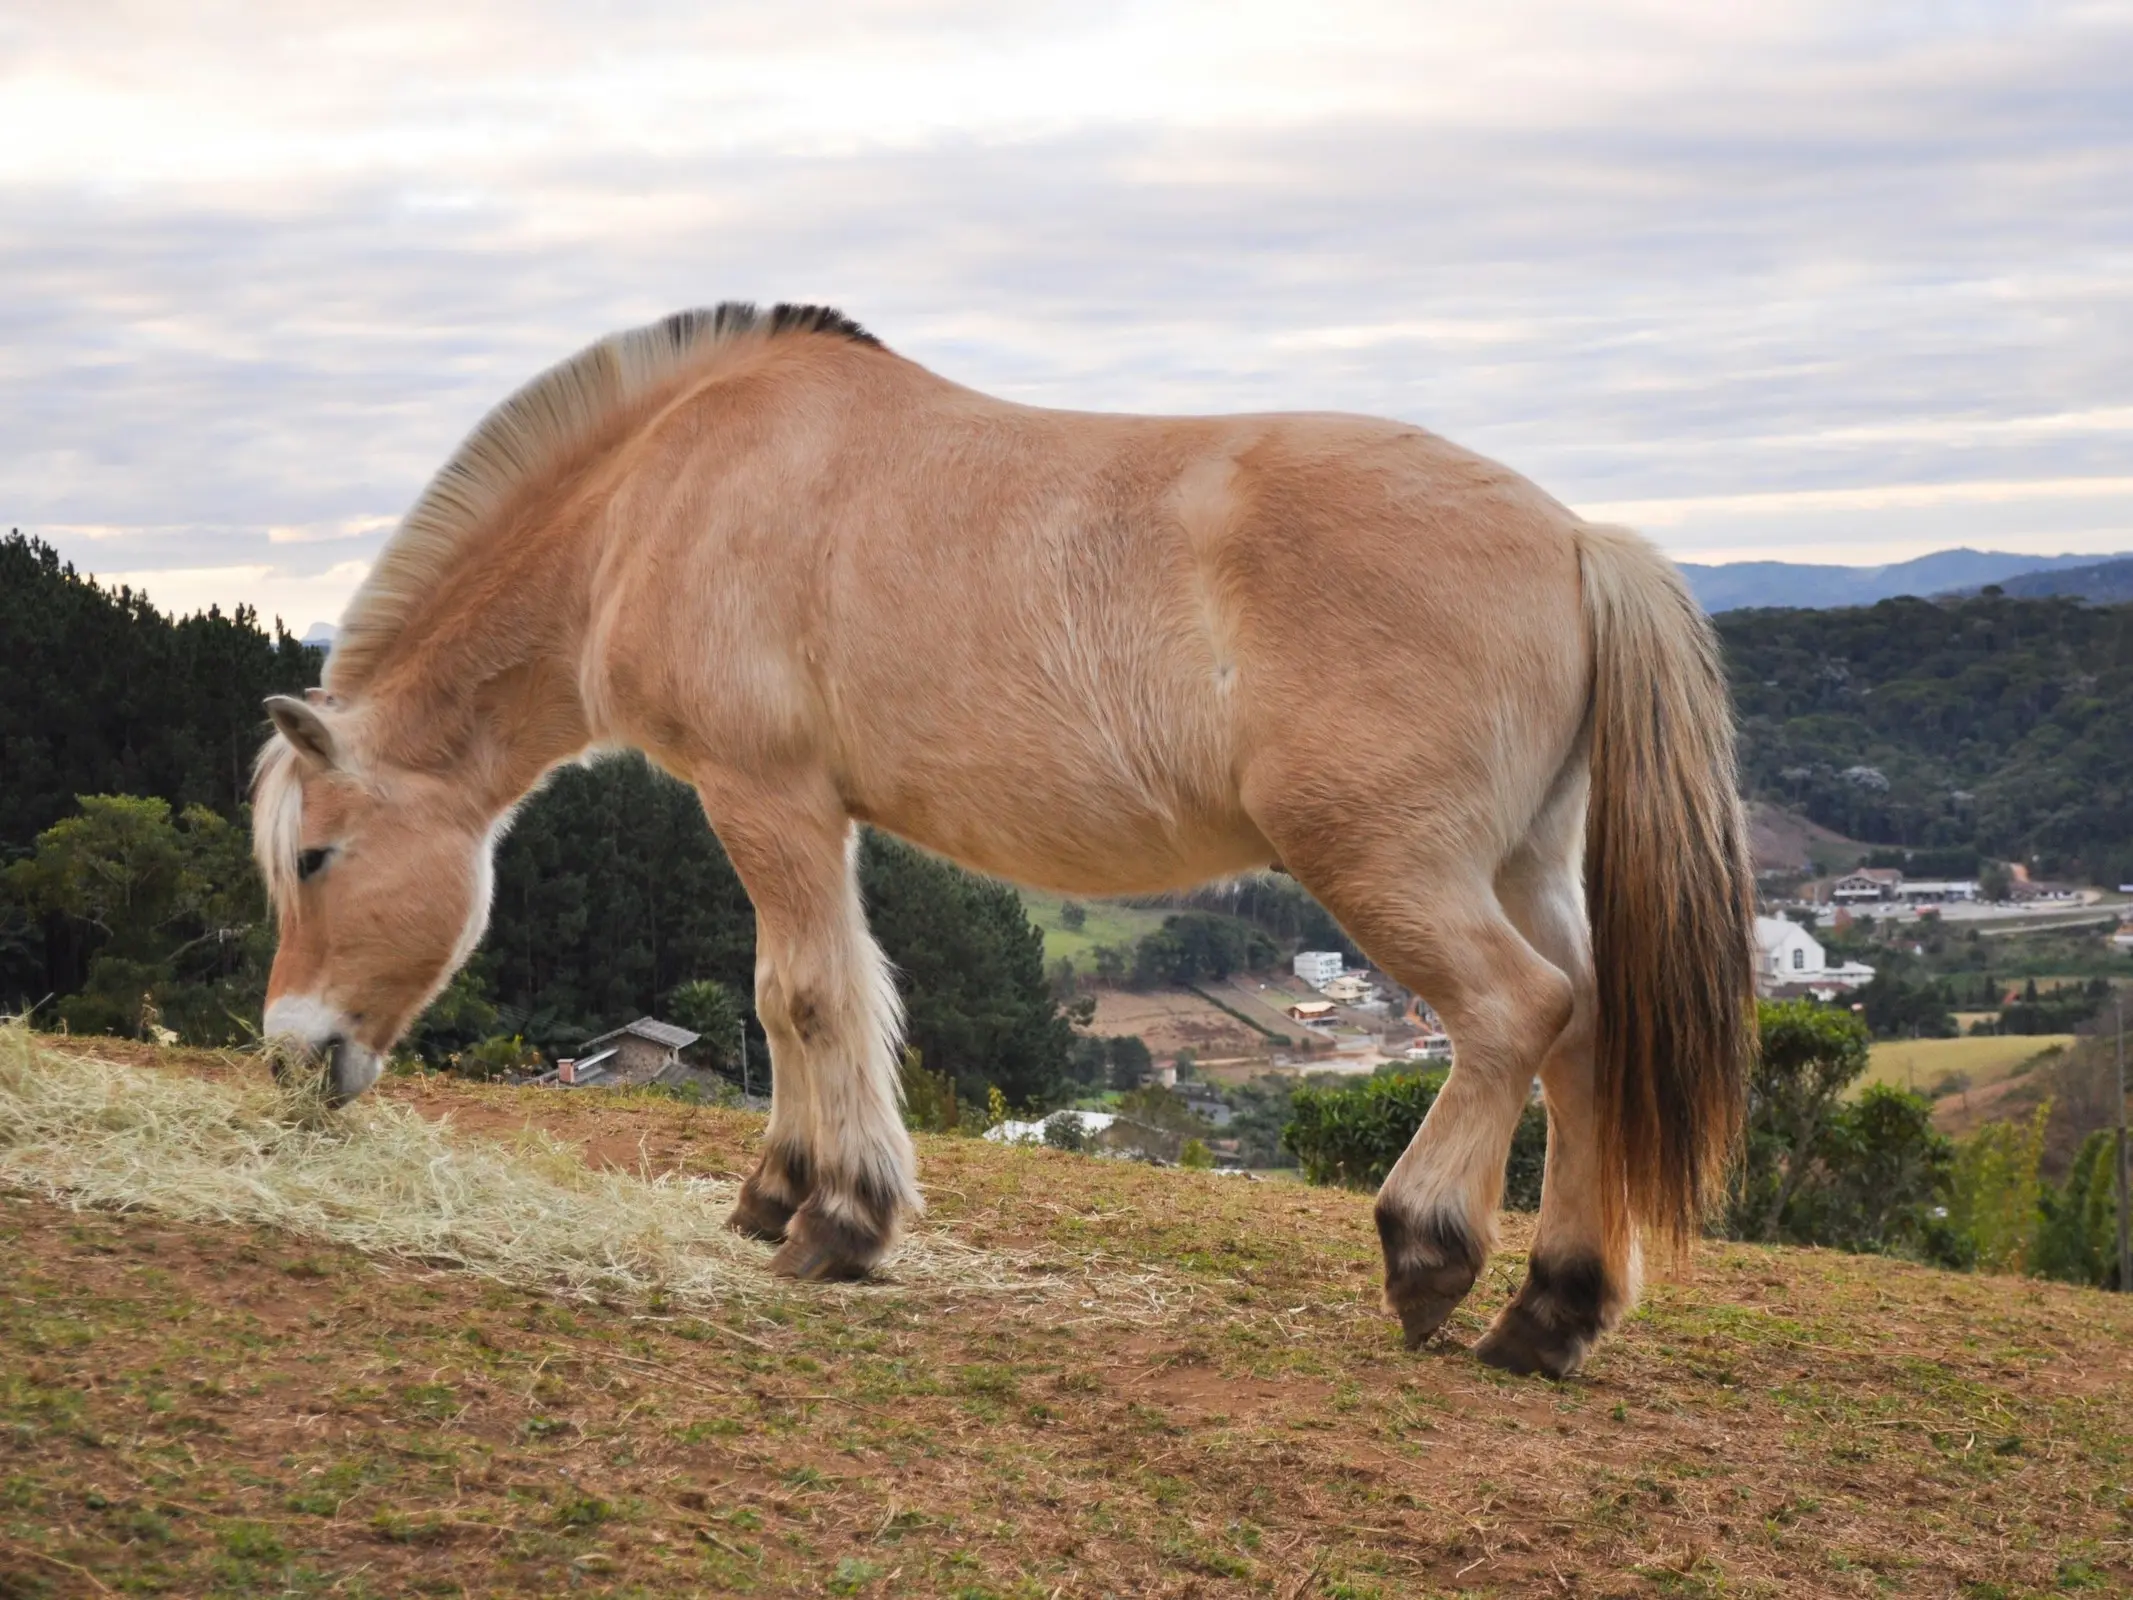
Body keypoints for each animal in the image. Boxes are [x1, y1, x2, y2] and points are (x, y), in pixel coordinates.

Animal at [253, 300, 1749, 1382]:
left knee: (1515, 1011)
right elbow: (801, 1000)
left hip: (1390, 867)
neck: (664, 489)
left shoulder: (764, 798)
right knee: (1589, 1031)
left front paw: (838, 1223)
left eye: (314, 857)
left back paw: (1430, 1253)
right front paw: (778, 1192)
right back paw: (1549, 1315)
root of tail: (1577, 542)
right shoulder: (810, 818)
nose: (288, 1054)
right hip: (1520, 865)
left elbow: (804, 994)